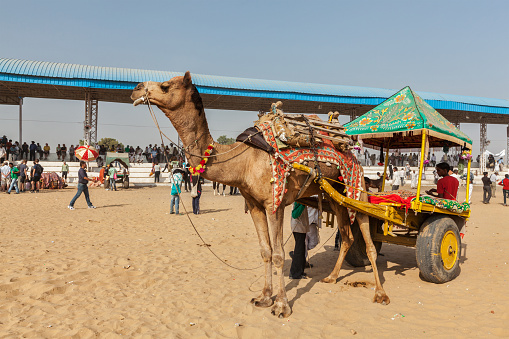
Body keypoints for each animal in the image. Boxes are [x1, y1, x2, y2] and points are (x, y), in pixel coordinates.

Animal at [131, 72, 388, 318]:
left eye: (165, 86)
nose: (136, 89)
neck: (243, 160)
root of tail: (351, 150)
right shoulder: (254, 205)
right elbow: (265, 251)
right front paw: (264, 297)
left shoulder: (275, 203)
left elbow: (279, 254)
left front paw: (282, 306)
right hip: (335, 195)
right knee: (347, 235)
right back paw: (332, 277)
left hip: (355, 182)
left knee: (367, 236)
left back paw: (380, 294)